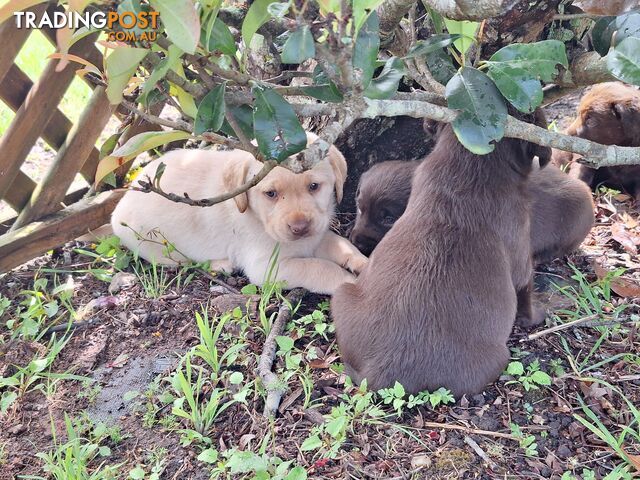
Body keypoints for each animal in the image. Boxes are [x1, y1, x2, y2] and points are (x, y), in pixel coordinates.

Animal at [111, 133, 364, 294]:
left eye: (314, 186)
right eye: (271, 193)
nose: (300, 228)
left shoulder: (316, 236)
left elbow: (340, 243)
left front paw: (361, 261)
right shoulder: (267, 267)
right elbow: (317, 267)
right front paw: (349, 282)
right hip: (160, 249)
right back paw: (220, 264)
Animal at [332, 117, 552, 398]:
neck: (468, 171)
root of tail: (381, 372)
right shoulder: (521, 257)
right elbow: (525, 291)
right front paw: (535, 315)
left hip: (342, 293)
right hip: (496, 359)